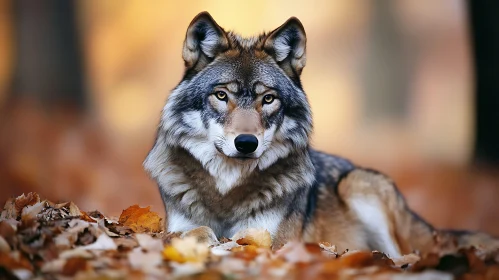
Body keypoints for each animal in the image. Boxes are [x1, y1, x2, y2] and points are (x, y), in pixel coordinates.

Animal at [143, 10, 498, 256]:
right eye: (221, 95)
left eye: (268, 99)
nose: (246, 143)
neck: (227, 192)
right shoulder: (179, 225)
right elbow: (188, 232)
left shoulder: (271, 239)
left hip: (361, 184)